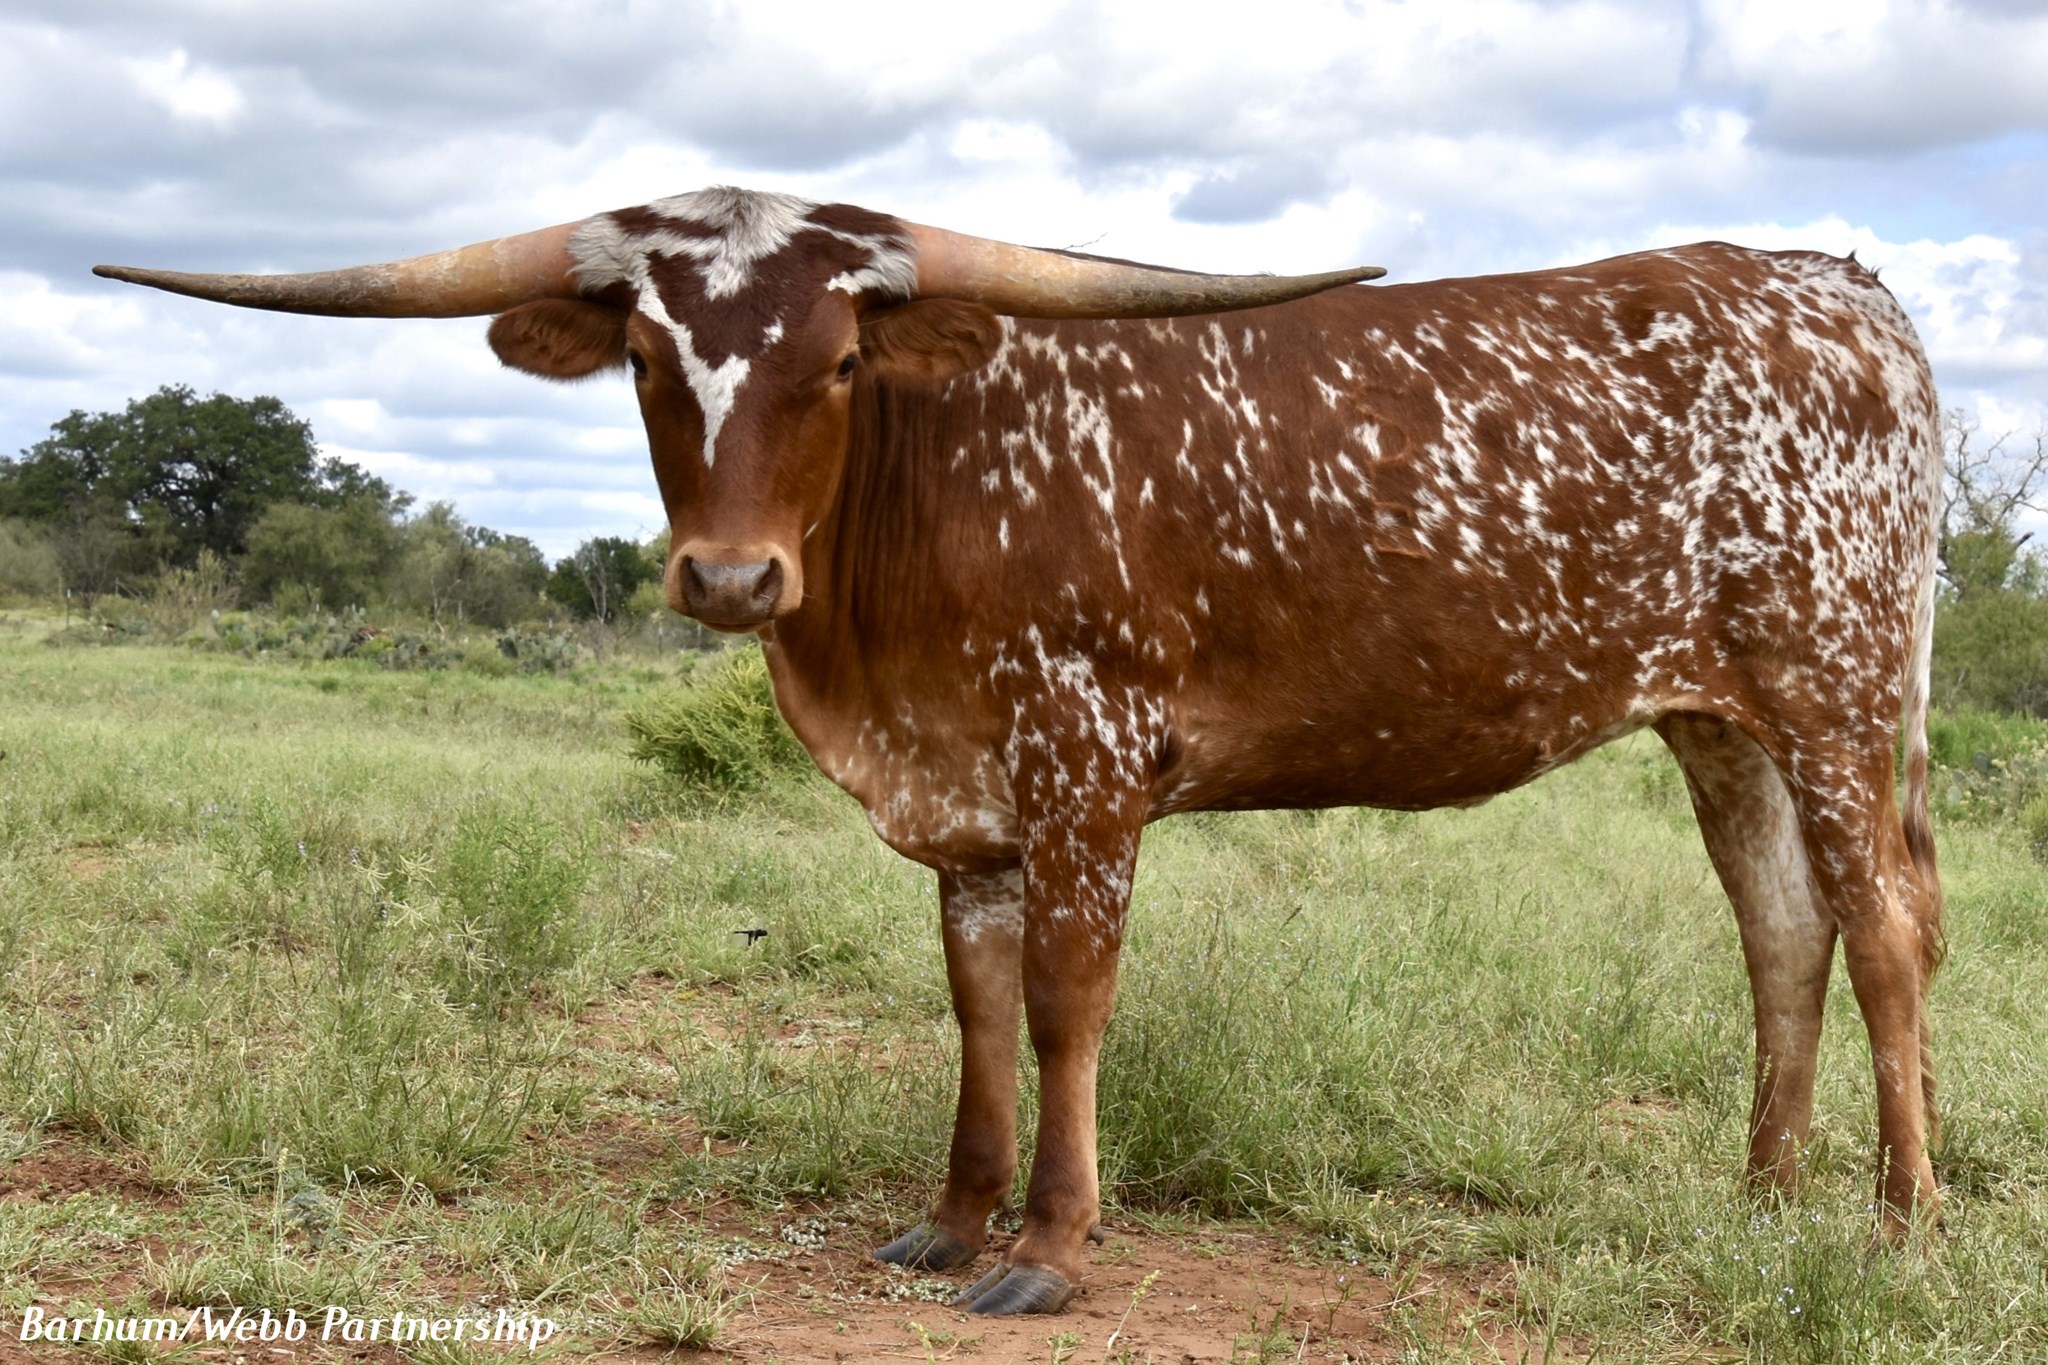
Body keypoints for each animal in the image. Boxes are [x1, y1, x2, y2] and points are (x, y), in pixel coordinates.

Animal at [97, 186, 1946, 1315]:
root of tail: (1827, 282)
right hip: (1718, 721)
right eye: (642, 357)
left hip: (1841, 693)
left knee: (1882, 937)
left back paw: (1898, 1222)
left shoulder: (1083, 763)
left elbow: (1064, 1006)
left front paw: (1051, 1246)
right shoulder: (969, 798)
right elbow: (975, 1009)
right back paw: (1761, 1198)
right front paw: (952, 1216)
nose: (728, 578)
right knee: (1779, 934)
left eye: (840, 357)